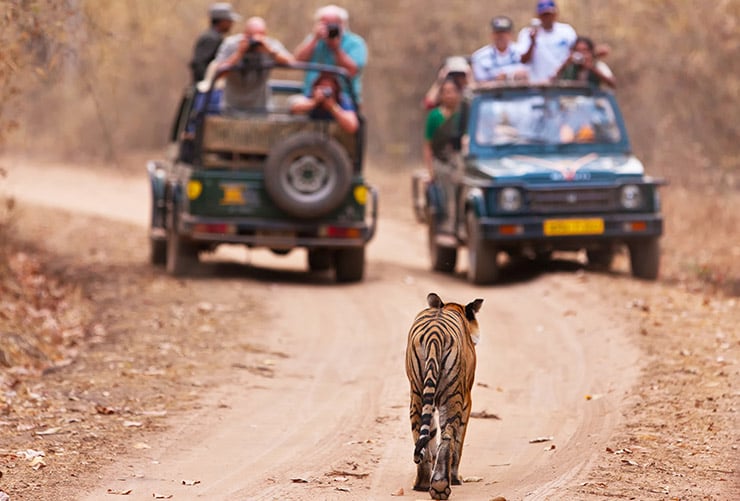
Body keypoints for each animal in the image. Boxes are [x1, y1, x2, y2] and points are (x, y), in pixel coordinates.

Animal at [404, 292, 486, 498]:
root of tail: (434, 335)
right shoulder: (467, 400)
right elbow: (458, 442)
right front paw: (456, 478)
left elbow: (431, 435)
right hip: (453, 395)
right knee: (449, 435)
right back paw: (441, 485)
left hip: (417, 394)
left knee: (420, 435)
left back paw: (423, 483)